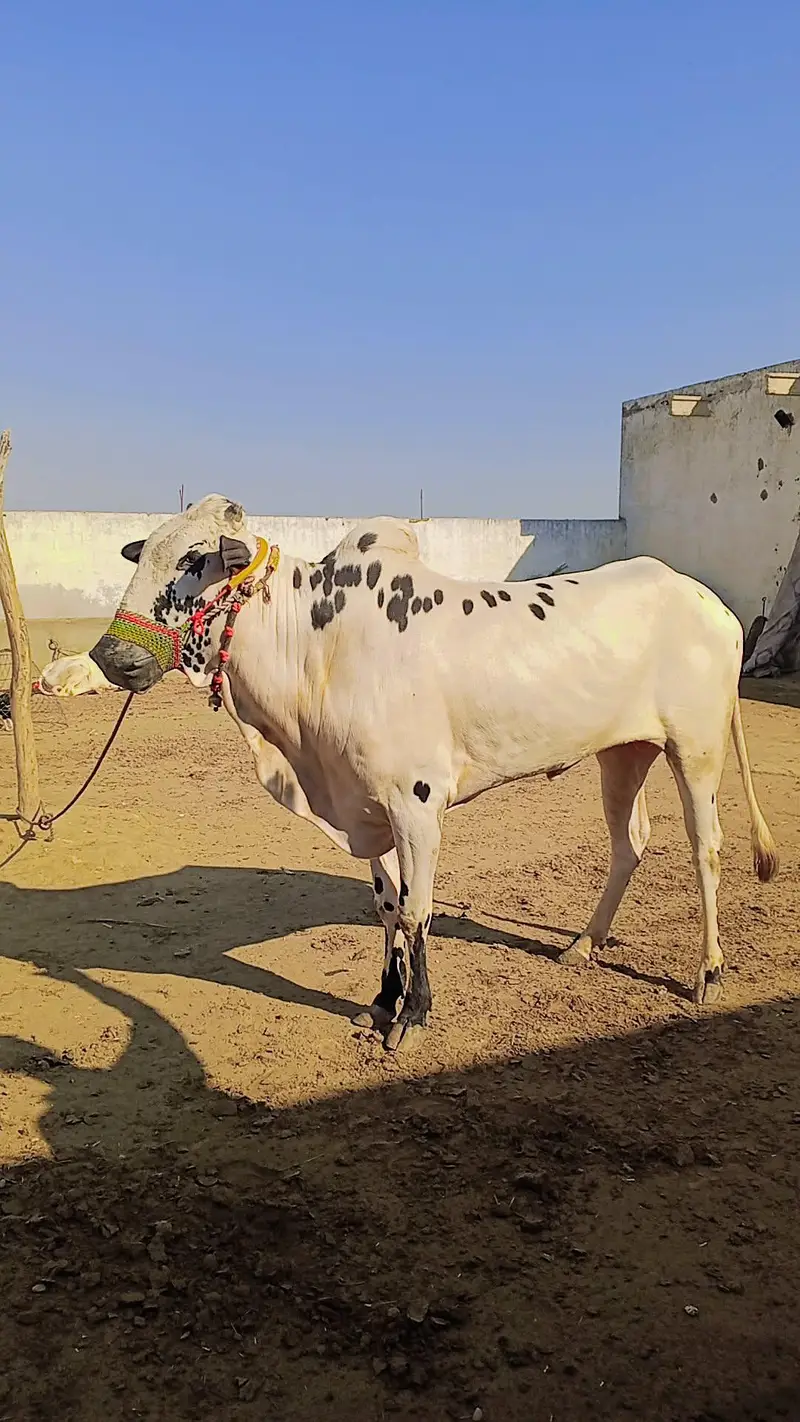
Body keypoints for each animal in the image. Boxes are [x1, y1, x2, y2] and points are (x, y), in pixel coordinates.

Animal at [90, 494, 778, 1050]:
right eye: (142, 556)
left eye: (194, 560)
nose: (112, 657)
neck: (317, 648)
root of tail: (708, 601)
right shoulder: (366, 808)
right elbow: (387, 906)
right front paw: (381, 1001)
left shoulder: (415, 804)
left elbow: (417, 910)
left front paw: (414, 1014)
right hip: (624, 753)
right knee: (630, 843)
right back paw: (584, 944)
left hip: (695, 749)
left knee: (706, 847)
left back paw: (708, 971)